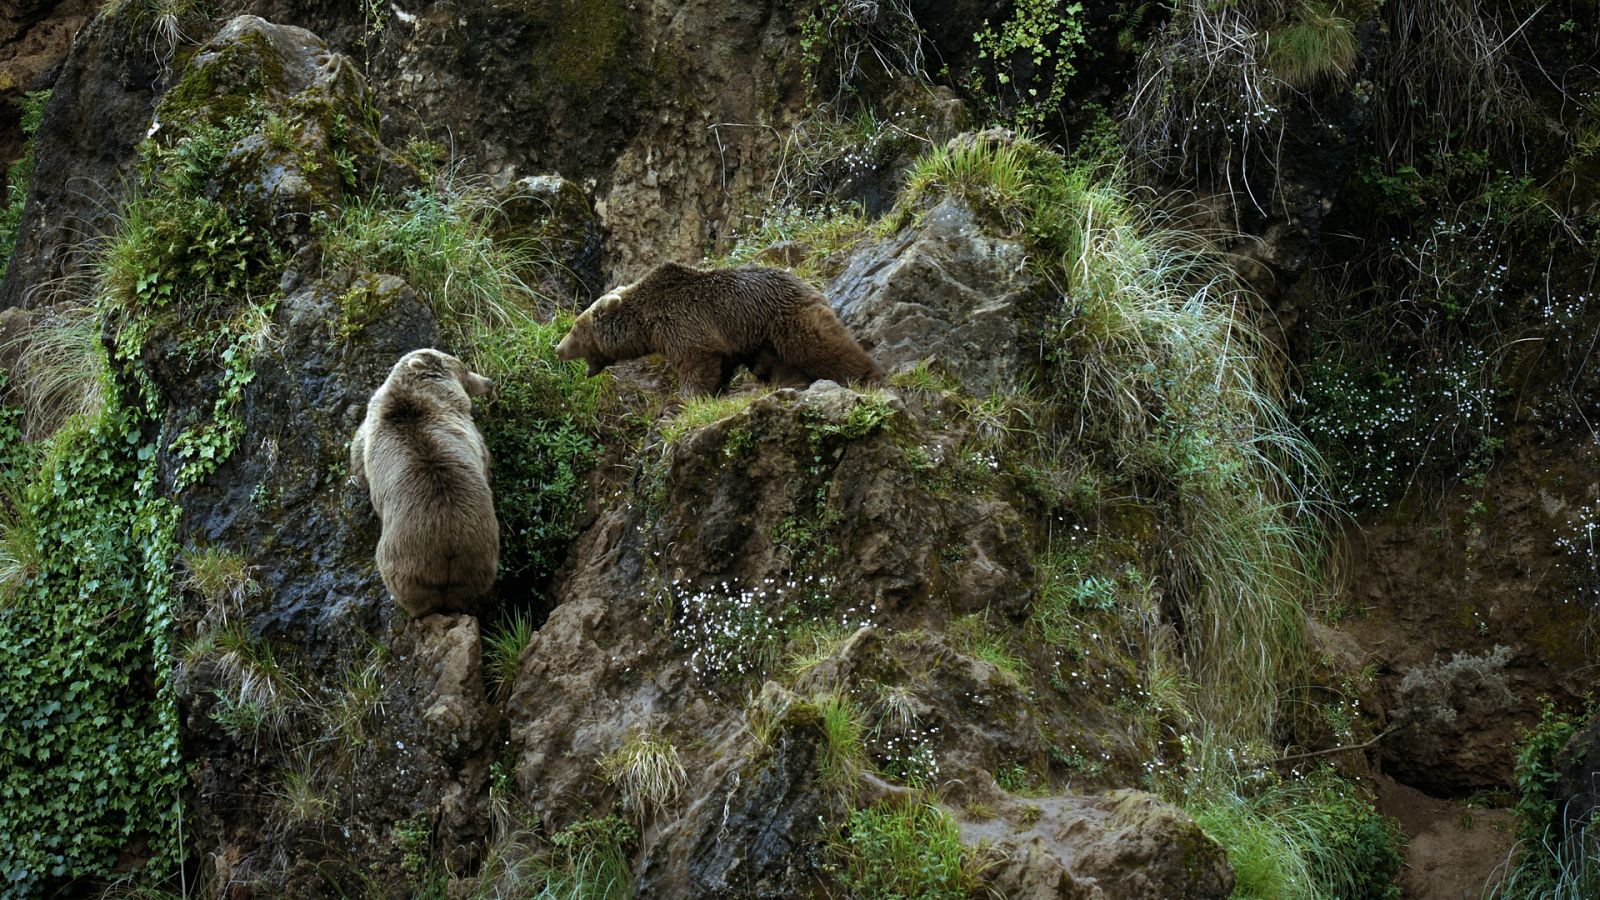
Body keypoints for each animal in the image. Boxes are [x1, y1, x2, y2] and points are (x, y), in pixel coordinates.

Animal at [553, 261, 883, 397]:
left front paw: (685, 401)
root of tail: (808, 284)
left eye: (575, 328)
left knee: (822, 346)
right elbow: (720, 365)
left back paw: (867, 375)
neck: (645, 324)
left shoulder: (682, 325)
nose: (557, 348)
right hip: (765, 336)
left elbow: (696, 365)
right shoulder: (722, 339)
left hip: (785, 319)